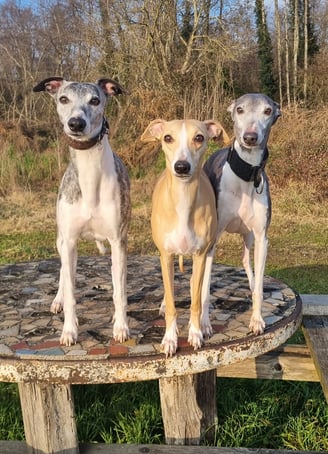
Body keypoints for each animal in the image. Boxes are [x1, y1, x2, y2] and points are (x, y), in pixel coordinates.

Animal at [201, 93, 280, 334]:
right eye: (239, 109)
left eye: (267, 111)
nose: (250, 137)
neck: (246, 175)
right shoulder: (211, 239)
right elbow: (204, 287)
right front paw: (204, 324)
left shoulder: (262, 238)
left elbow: (260, 286)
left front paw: (257, 319)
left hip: (249, 235)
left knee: (246, 259)